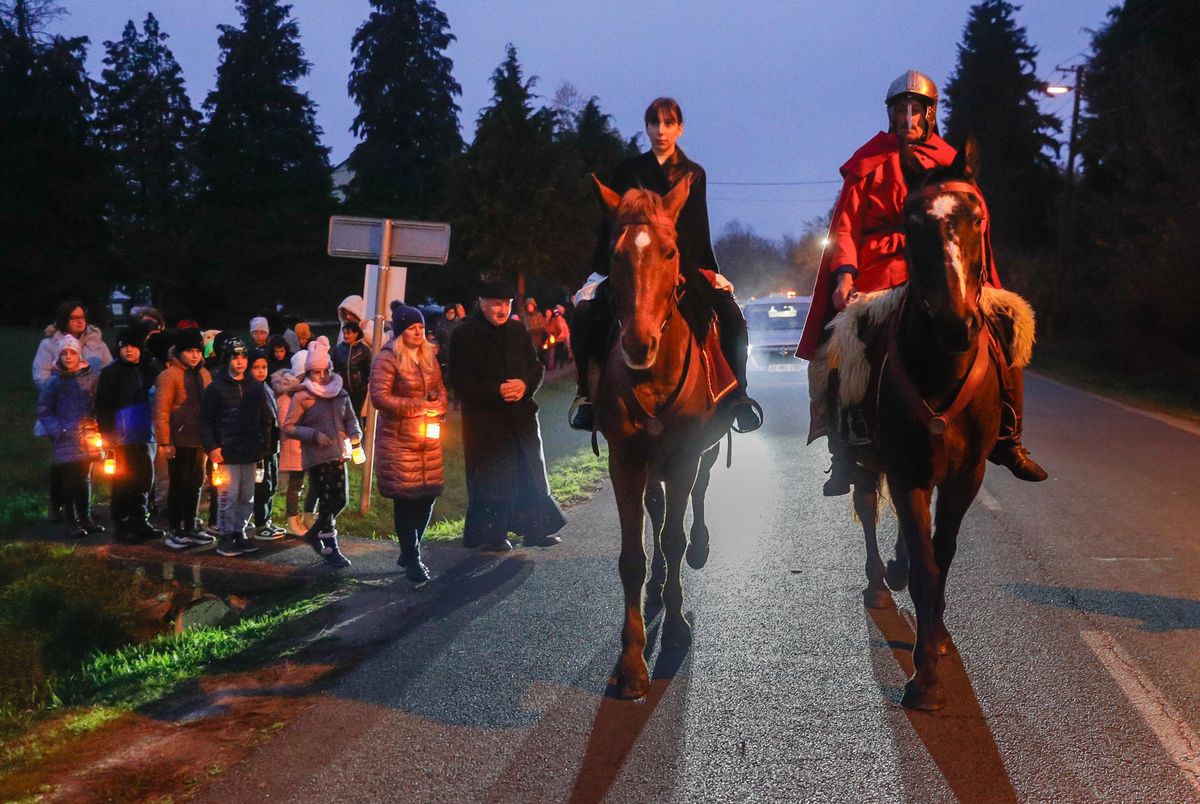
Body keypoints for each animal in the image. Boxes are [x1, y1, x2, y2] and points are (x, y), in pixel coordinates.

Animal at [590, 175, 729, 700]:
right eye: (615, 254)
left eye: (671, 252)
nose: (637, 342)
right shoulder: (625, 460)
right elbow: (635, 555)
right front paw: (632, 662)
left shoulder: (686, 453)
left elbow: (671, 538)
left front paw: (674, 630)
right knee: (656, 504)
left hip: (703, 448)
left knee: (701, 489)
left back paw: (699, 546)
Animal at [849, 138, 1008, 710]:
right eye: (912, 224)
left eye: (977, 217)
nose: (955, 325)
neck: (941, 368)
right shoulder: (905, 468)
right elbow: (924, 563)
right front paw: (926, 676)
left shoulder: (964, 476)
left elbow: (942, 555)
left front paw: (936, 638)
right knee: (868, 507)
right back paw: (879, 581)